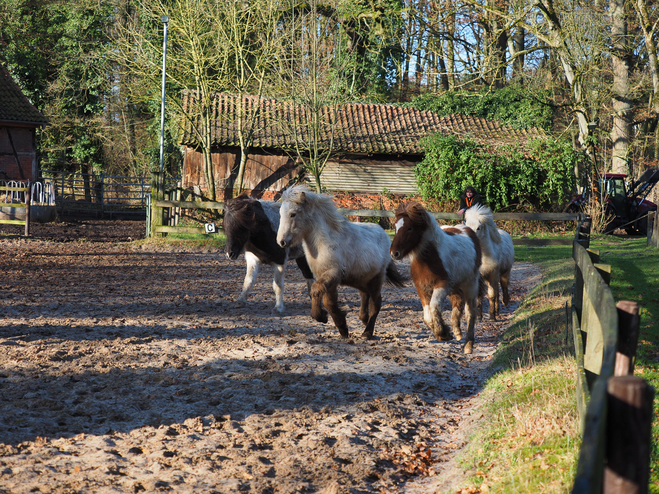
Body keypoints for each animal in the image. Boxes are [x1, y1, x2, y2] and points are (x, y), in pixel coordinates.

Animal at [274, 185, 408, 340]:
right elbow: (328, 301)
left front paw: (324, 317)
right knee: (364, 295)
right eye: (280, 214)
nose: (281, 242)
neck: (324, 243)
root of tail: (385, 236)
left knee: (376, 303)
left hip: (377, 278)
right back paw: (363, 319)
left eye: (293, 214)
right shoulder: (325, 278)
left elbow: (316, 291)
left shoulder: (333, 274)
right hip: (361, 279)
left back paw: (367, 332)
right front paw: (341, 326)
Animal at [390, 203, 482, 354]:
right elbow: (427, 316)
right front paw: (445, 333)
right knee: (458, 302)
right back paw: (457, 331)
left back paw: (468, 345)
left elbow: (434, 307)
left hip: (470, 283)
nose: (394, 253)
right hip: (454, 286)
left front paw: (443, 333)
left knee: (470, 312)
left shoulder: (442, 284)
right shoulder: (421, 287)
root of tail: (468, 229)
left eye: (409, 228)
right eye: (395, 227)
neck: (429, 257)